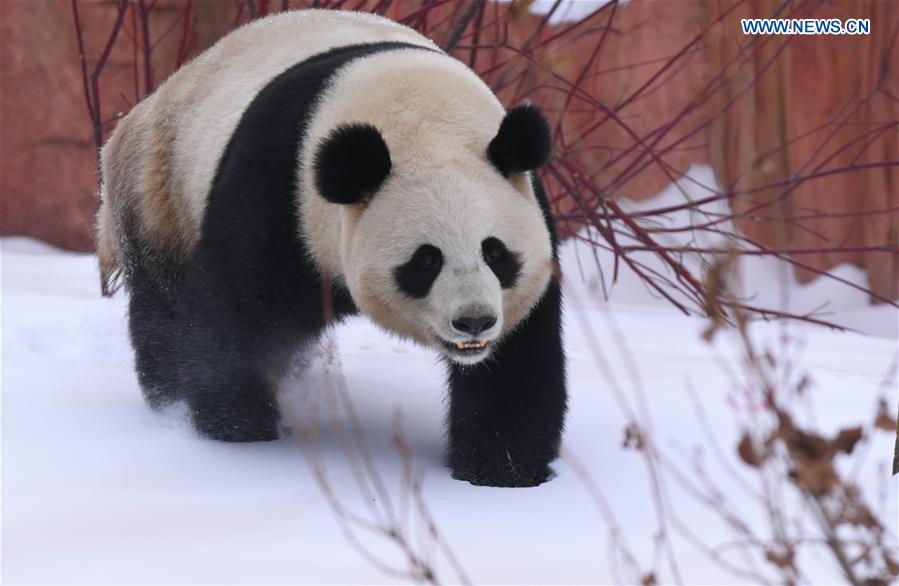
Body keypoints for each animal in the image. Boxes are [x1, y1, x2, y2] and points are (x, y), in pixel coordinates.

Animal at [97, 9, 566, 487]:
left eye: (495, 253)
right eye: (426, 259)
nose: (474, 321)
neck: (425, 122)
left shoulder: (530, 214)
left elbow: (517, 361)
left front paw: (501, 473)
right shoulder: (278, 192)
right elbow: (233, 320)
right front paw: (241, 431)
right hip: (162, 193)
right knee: (165, 312)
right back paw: (171, 400)